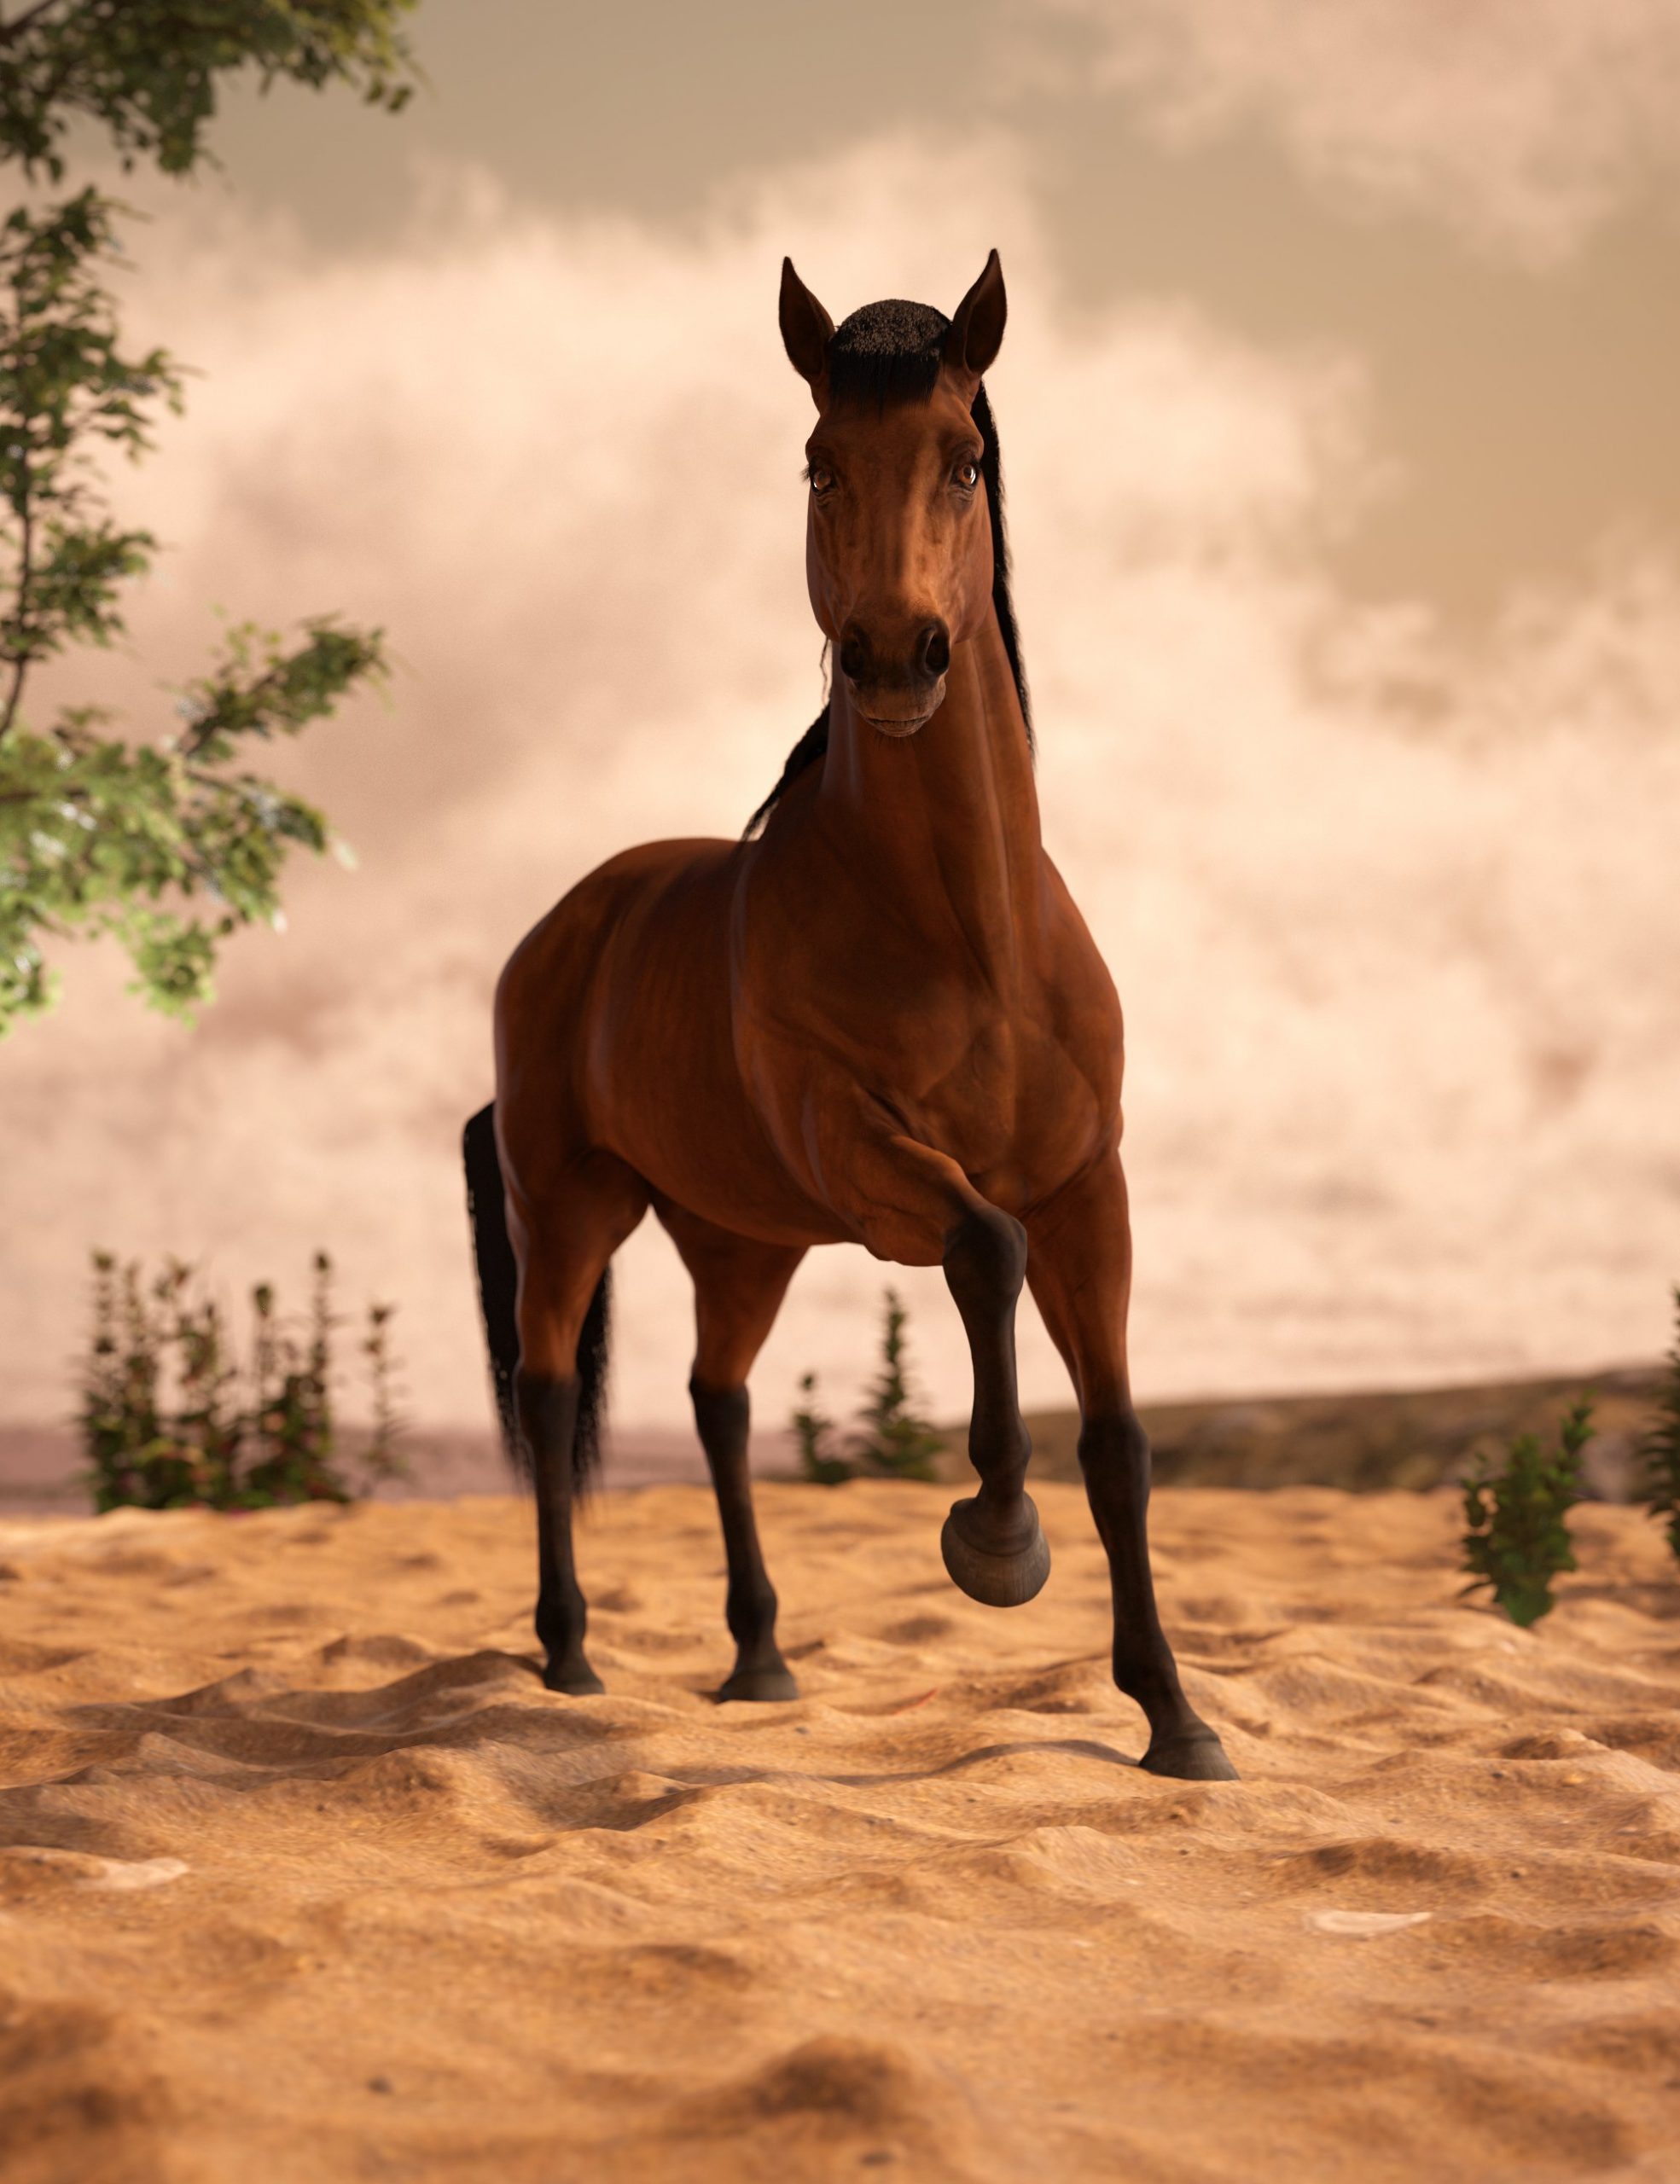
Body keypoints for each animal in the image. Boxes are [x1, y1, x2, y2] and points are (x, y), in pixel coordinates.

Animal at [463, 252, 1236, 1782]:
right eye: (818, 462)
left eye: (963, 460)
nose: (891, 658)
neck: (972, 937)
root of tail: (562, 927)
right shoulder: (868, 1161)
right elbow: (985, 1252)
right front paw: (994, 1540)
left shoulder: (1088, 1186)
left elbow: (1117, 1441)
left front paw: (1177, 1722)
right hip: (569, 1203)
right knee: (549, 1388)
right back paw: (569, 1656)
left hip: (740, 1237)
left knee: (717, 1400)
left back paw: (759, 1661)